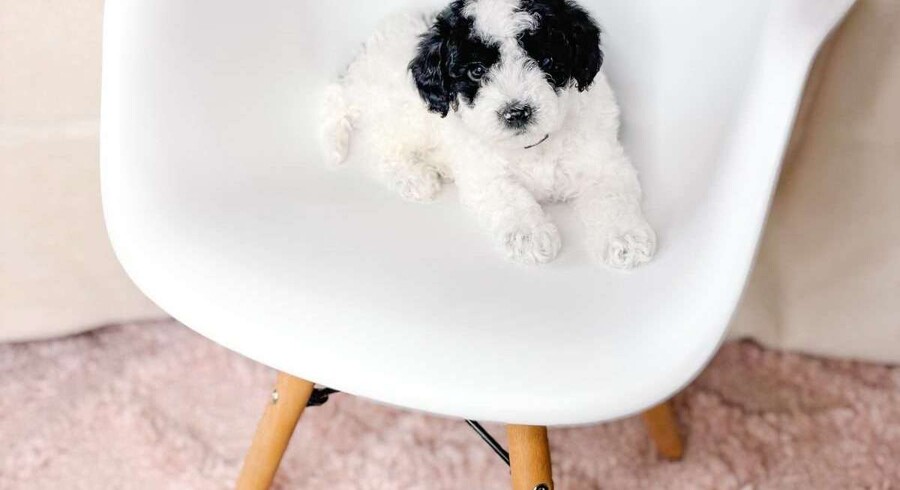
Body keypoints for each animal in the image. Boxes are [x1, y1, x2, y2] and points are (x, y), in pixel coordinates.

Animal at [322, 0, 656, 269]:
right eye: (476, 72)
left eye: (547, 62)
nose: (516, 112)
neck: (532, 146)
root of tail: (355, 69)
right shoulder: (485, 174)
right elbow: (510, 198)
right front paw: (529, 236)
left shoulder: (603, 158)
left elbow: (612, 196)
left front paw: (625, 238)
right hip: (401, 113)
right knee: (379, 146)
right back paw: (414, 177)